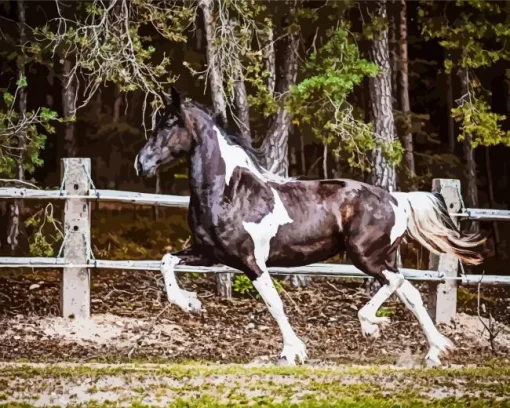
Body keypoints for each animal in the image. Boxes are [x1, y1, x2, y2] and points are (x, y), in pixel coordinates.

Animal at [135, 87, 486, 368]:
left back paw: (372, 325)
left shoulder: (251, 262)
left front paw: (293, 351)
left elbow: (274, 304)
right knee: (410, 292)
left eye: (169, 124)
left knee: (397, 282)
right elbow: (166, 261)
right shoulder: (209, 254)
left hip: (365, 256)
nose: (141, 163)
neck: (228, 192)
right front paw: (190, 303)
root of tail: (396, 199)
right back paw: (435, 351)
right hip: (380, 257)